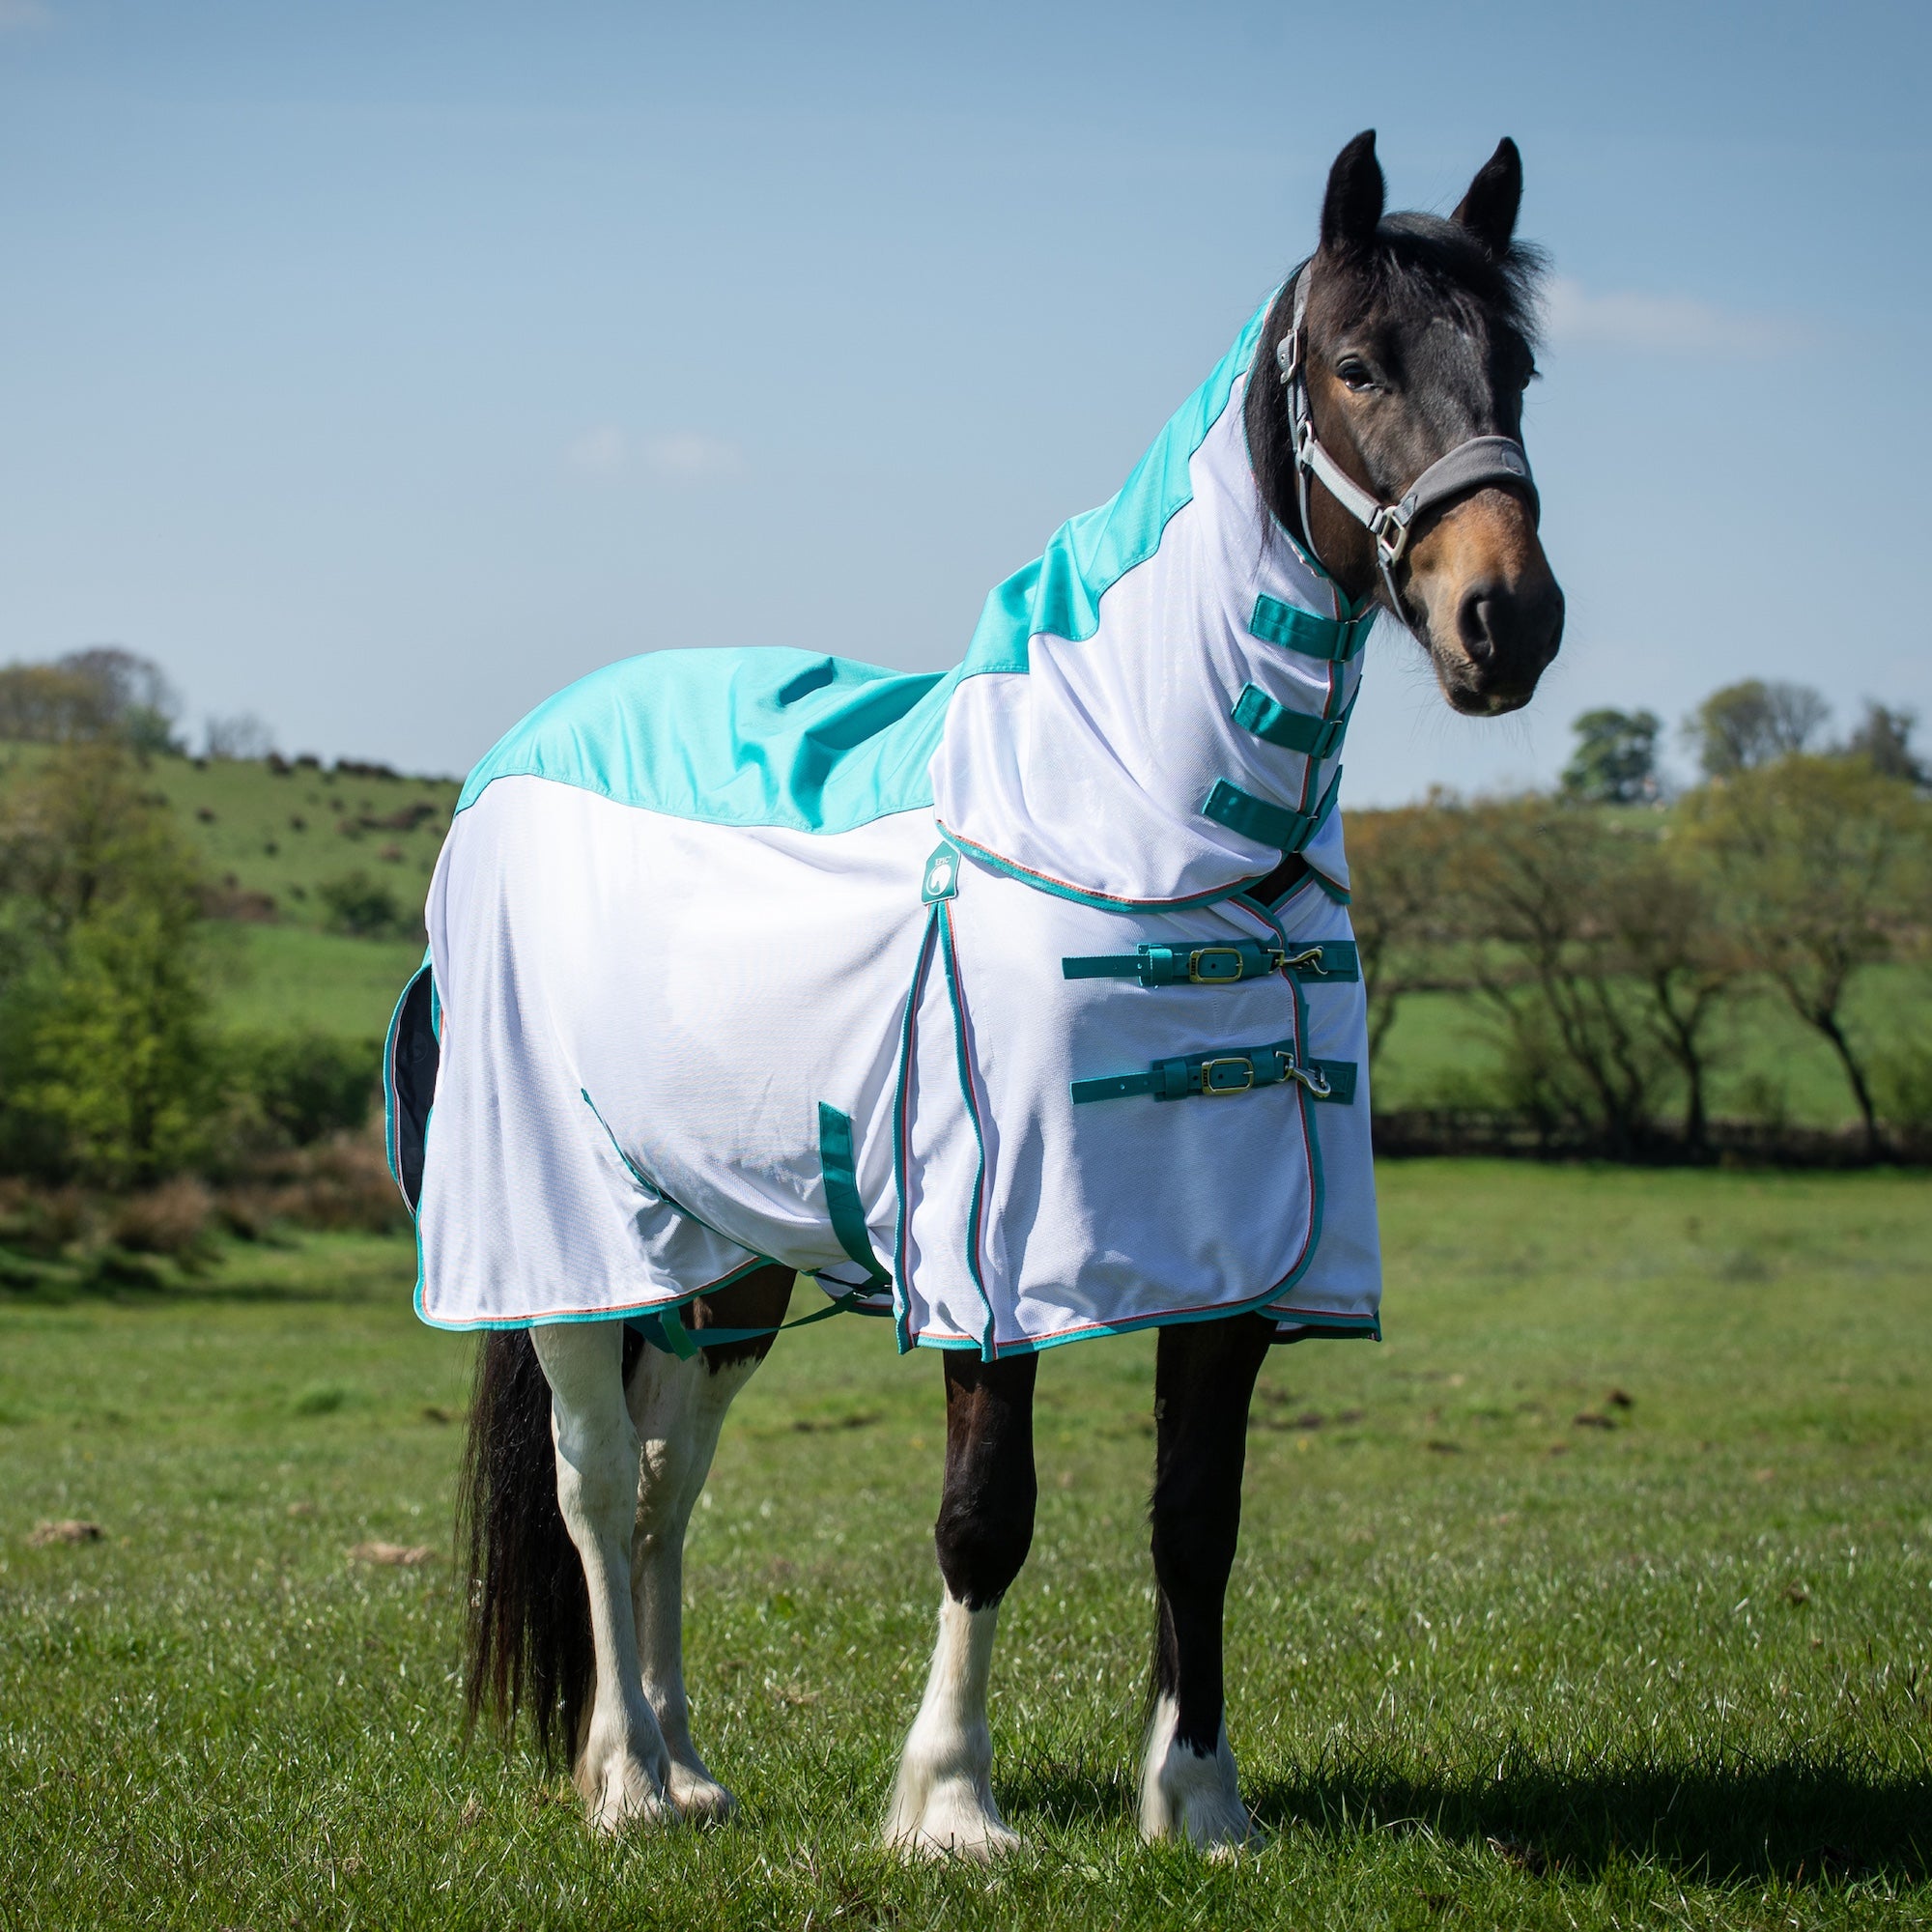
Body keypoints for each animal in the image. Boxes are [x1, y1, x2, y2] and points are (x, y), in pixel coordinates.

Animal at [396, 129, 1564, 1855]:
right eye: (1358, 363)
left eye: (1520, 368)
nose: (1509, 620)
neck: (1137, 805)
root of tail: (505, 770)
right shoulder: (990, 1254)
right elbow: (983, 1516)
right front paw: (949, 1803)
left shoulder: (1240, 1269)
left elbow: (1195, 1518)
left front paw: (1199, 1802)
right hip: (564, 1240)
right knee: (597, 1479)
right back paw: (623, 1782)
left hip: (726, 1259)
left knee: (671, 1475)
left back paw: (686, 1757)